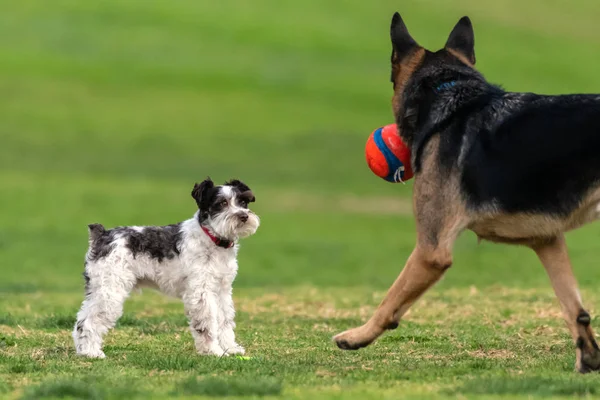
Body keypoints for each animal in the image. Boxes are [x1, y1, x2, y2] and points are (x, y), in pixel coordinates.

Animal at [71, 177, 258, 358]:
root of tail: (101, 235)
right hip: (109, 292)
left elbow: (225, 321)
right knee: (87, 322)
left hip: (99, 290)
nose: (243, 216)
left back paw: (84, 351)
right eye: (221, 203)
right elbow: (206, 325)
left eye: (243, 201)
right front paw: (213, 351)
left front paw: (230, 348)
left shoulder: (222, 290)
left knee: (81, 319)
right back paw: (92, 352)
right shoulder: (201, 293)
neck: (211, 239)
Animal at [336, 12, 600, 374]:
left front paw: (357, 336)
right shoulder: (547, 240)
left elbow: (390, 299)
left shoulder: (430, 250)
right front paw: (587, 360)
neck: (451, 98)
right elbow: (574, 306)